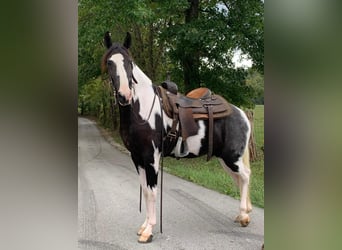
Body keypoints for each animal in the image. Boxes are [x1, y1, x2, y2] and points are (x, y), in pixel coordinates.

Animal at [100, 32, 252, 243]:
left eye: (130, 63)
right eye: (110, 63)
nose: (125, 95)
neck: (142, 110)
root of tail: (240, 113)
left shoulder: (151, 158)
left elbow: (152, 192)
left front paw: (149, 231)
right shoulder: (137, 158)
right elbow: (145, 191)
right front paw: (144, 227)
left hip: (232, 157)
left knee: (245, 176)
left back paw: (244, 216)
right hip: (225, 159)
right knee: (239, 178)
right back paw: (241, 214)